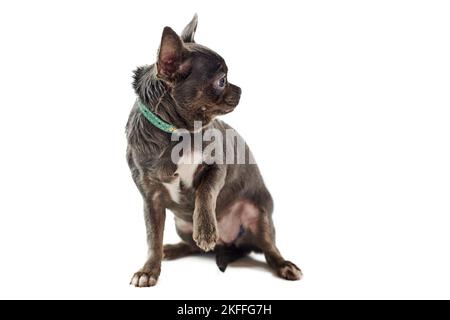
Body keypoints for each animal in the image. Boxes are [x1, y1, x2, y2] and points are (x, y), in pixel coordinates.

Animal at [125, 14, 302, 288]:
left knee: (269, 248)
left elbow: (205, 192)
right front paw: (149, 270)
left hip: (260, 216)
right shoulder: (151, 198)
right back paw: (171, 249)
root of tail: (228, 243)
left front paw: (206, 231)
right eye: (221, 81)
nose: (240, 89)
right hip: (181, 224)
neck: (179, 133)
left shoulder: (218, 166)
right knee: (192, 247)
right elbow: (152, 237)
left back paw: (284, 265)